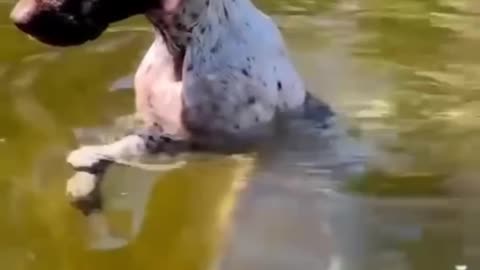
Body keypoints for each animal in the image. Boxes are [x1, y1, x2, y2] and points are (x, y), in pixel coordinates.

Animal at [11, 0, 334, 205]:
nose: (17, 18)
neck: (181, 46)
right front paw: (85, 181)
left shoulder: (212, 143)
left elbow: (132, 144)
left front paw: (89, 157)